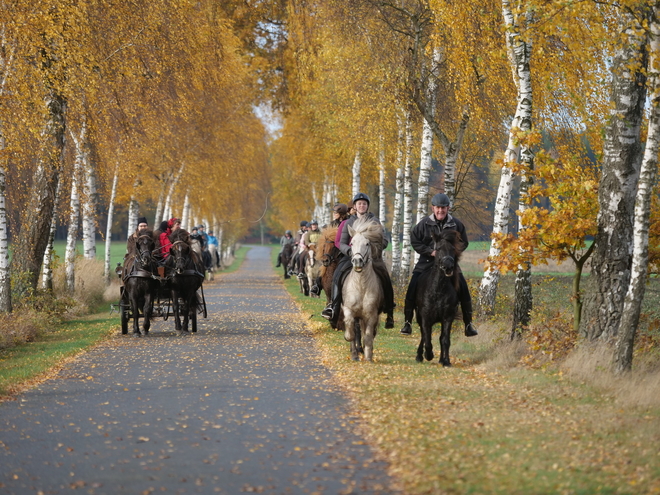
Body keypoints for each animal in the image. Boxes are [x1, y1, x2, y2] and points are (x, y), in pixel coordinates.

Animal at [338, 217, 384, 360]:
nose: (357, 261)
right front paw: (352, 347)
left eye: (367, 244)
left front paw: (368, 358)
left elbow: (368, 336)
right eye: (351, 243)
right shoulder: (348, 309)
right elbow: (351, 330)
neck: (361, 285)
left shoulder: (371, 315)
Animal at [416, 231, 462, 366]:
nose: (448, 267)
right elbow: (427, 337)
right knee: (423, 335)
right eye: (439, 248)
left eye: (453, 249)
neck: (438, 290)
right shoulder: (425, 317)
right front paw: (428, 355)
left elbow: (445, 339)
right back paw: (420, 356)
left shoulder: (447, 317)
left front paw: (446, 361)